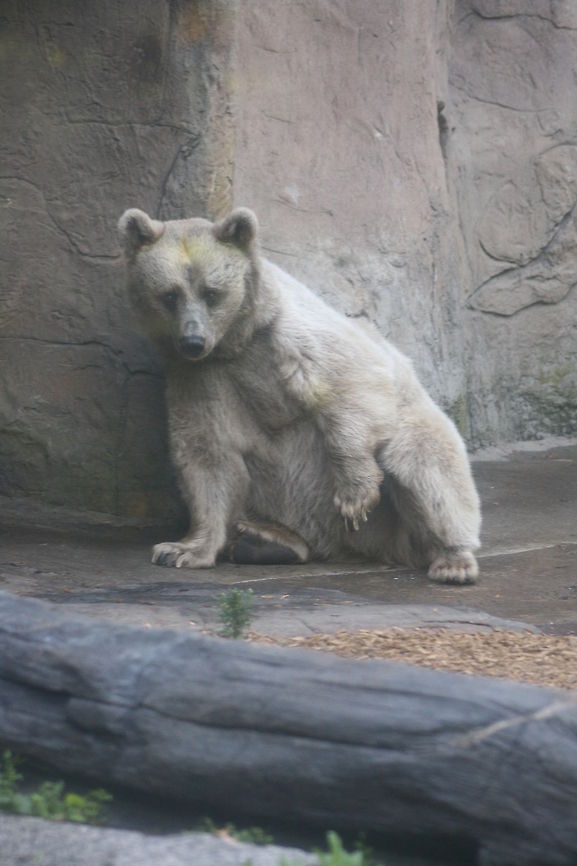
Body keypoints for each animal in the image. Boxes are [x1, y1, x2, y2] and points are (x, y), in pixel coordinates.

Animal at [118, 206, 481, 583]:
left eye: (211, 293)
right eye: (169, 295)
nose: (193, 340)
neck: (240, 340)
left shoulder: (290, 335)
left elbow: (354, 383)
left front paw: (355, 496)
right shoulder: (200, 376)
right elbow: (207, 451)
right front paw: (179, 550)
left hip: (405, 473)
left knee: (424, 462)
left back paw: (453, 560)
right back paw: (265, 539)